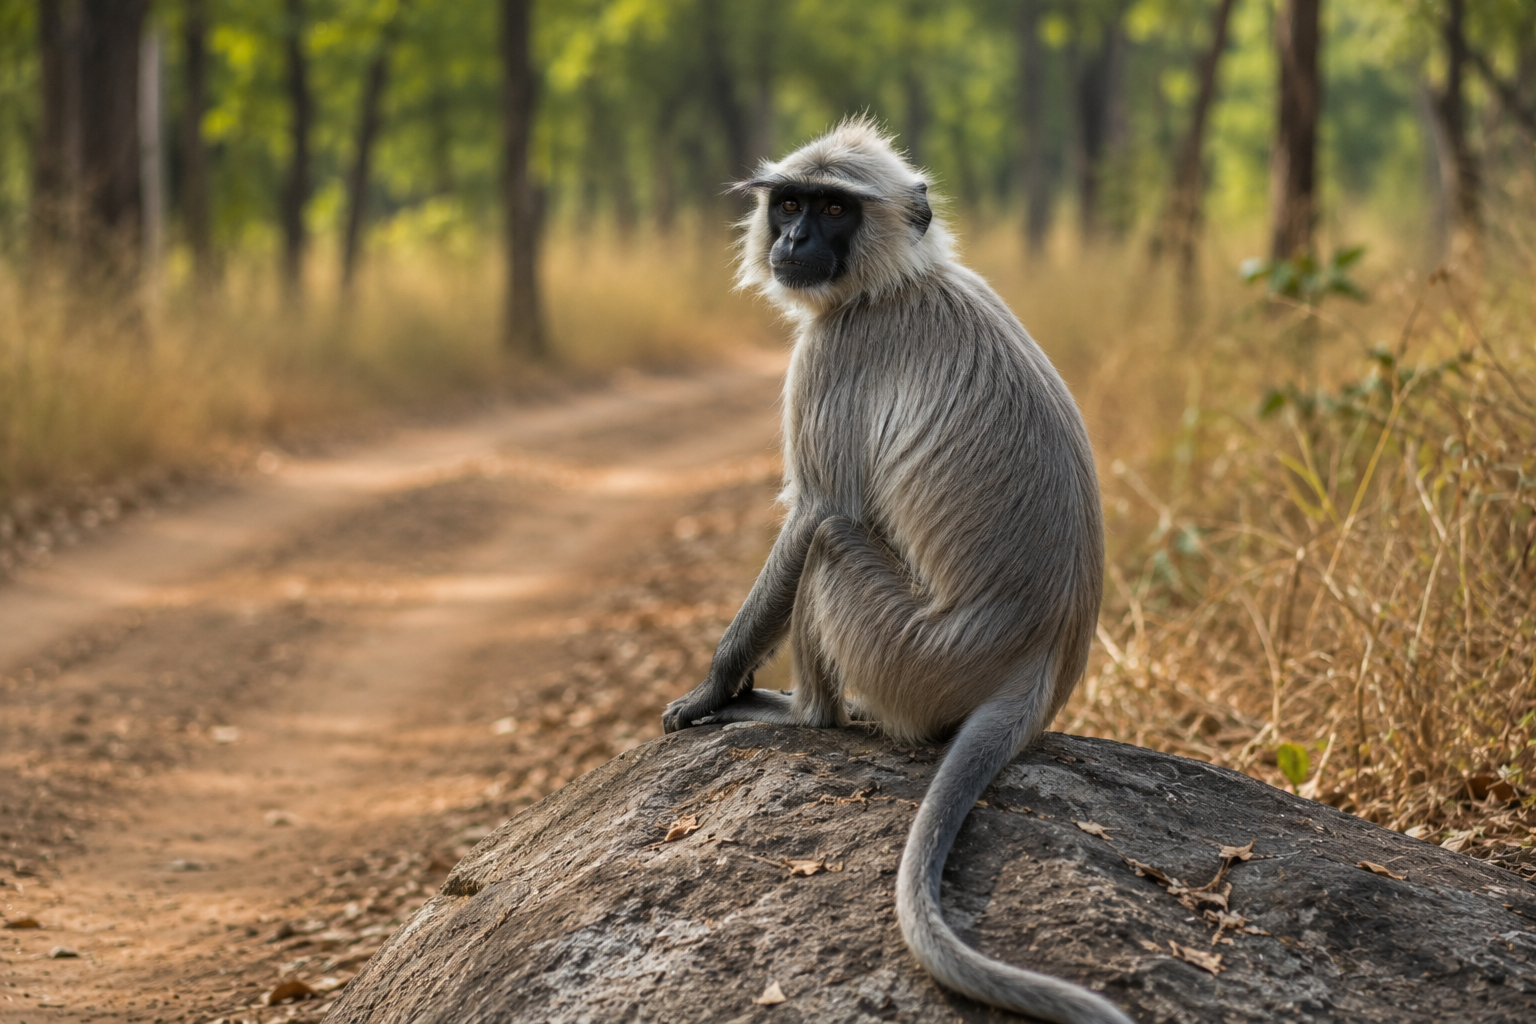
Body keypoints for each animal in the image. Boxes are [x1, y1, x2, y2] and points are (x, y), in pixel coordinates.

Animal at [660, 117, 1131, 1024]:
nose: (795, 241)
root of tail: (1038, 663)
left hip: (913, 655)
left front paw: (711, 690)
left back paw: (803, 716)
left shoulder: (835, 350)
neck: (898, 281)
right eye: (792, 204)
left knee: (830, 538)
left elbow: (814, 511)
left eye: (836, 210)